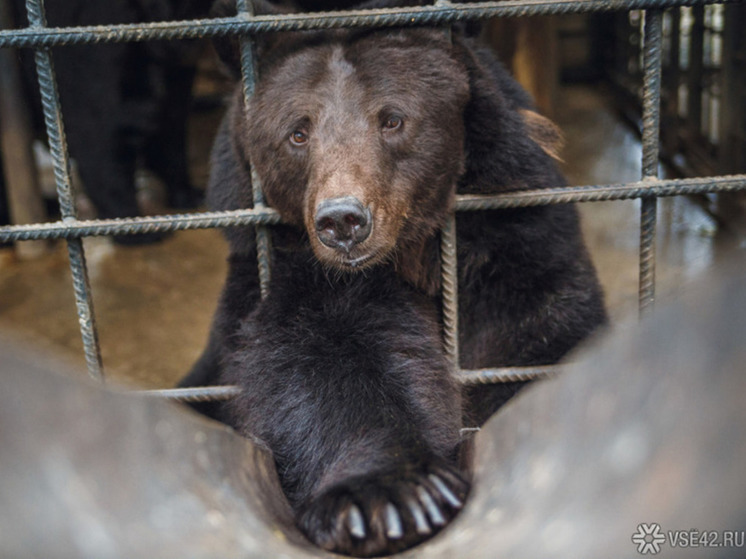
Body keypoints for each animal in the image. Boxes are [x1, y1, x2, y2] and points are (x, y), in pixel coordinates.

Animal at [180, 2, 604, 556]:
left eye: (393, 119)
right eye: (298, 132)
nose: (343, 220)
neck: (412, 257)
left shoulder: (518, 242)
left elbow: (538, 334)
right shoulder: (292, 276)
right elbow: (324, 360)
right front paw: (389, 496)